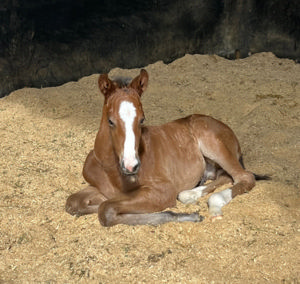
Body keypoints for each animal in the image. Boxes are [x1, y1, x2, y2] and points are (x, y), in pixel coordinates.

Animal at [66, 69, 270, 226]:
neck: (110, 168)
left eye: (142, 120)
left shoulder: (162, 191)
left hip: (214, 145)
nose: (131, 166)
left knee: (244, 177)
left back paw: (213, 205)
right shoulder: (101, 188)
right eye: (110, 121)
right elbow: (73, 203)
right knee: (225, 176)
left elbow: (106, 209)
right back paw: (191, 194)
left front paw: (186, 216)